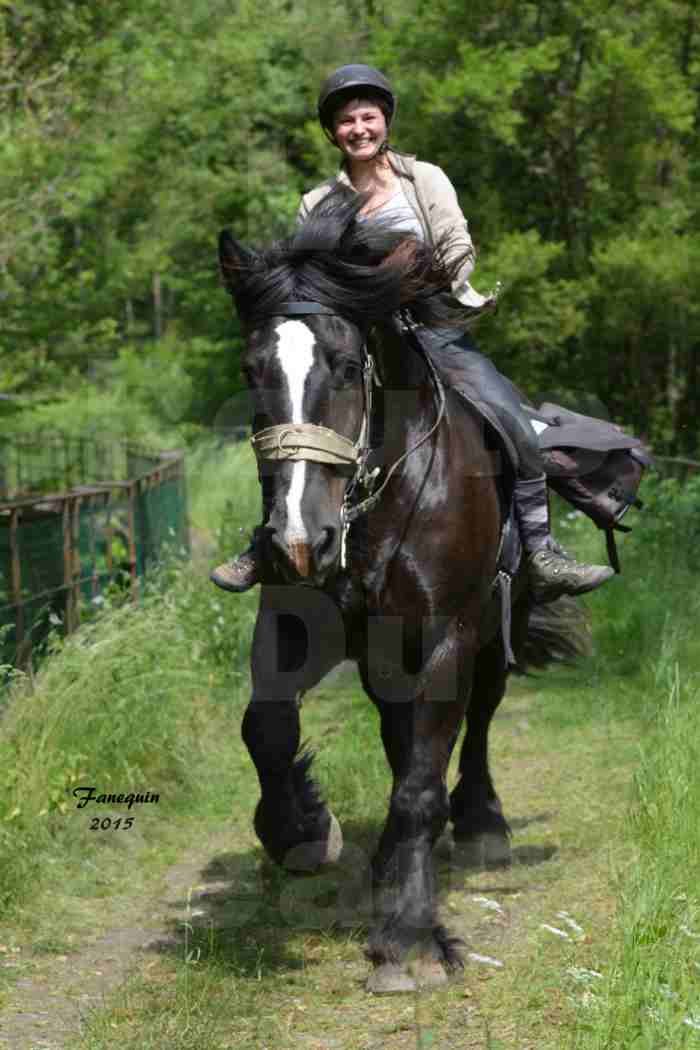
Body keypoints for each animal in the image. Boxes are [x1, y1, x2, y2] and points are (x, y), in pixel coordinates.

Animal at [217, 191, 587, 991]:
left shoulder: (448, 635)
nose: (302, 538)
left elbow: (421, 780)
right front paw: (302, 831)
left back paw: (480, 825)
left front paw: (409, 939)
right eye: (252, 368)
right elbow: (266, 728)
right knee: (397, 732)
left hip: (492, 632)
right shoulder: (299, 624)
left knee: (475, 722)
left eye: (346, 364)